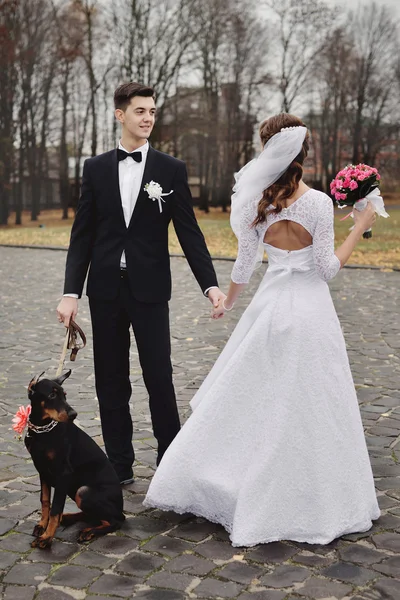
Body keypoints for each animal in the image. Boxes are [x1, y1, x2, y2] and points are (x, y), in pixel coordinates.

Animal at [25, 368, 124, 548]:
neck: (42, 430)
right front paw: (42, 525)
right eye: (52, 395)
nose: (73, 414)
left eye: (64, 395)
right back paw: (69, 518)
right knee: (92, 515)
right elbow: (45, 500)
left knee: (116, 521)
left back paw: (89, 531)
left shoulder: (63, 473)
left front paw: (46, 537)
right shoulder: (42, 469)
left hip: (82, 491)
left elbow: (56, 508)